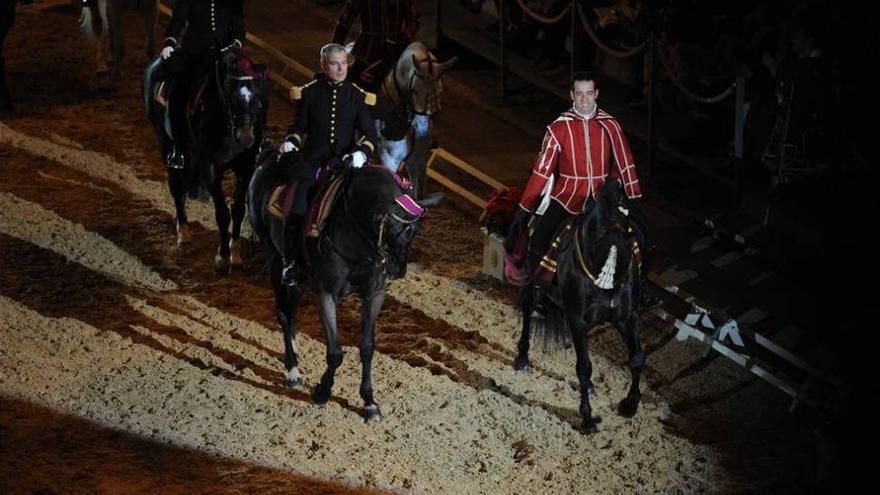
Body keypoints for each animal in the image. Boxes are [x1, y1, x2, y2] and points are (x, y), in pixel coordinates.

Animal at [143, 48, 268, 274]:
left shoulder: (245, 168)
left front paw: (236, 255)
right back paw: (183, 235)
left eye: (255, 94)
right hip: (165, 141)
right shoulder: (211, 168)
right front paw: (222, 257)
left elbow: (238, 210)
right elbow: (222, 213)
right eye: (229, 91)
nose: (246, 137)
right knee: (176, 188)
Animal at [248, 154, 444, 422]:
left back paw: (295, 355)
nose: (396, 269)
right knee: (283, 314)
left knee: (291, 313)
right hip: (275, 259)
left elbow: (367, 348)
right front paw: (322, 392)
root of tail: (270, 159)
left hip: (299, 279)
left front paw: (369, 402)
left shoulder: (374, 295)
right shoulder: (326, 294)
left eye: (415, 230)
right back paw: (292, 370)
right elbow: (335, 352)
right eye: (386, 226)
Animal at [516, 178, 648, 434]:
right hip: (533, 280)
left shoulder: (628, 317)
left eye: (627, 231)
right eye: (596, 231)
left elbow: (637, 357)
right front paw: (587, 419)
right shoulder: (578, 320)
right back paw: (522, 358)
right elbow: (584, 367)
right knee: (527, 310)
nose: (611, 281)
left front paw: (629, 404)